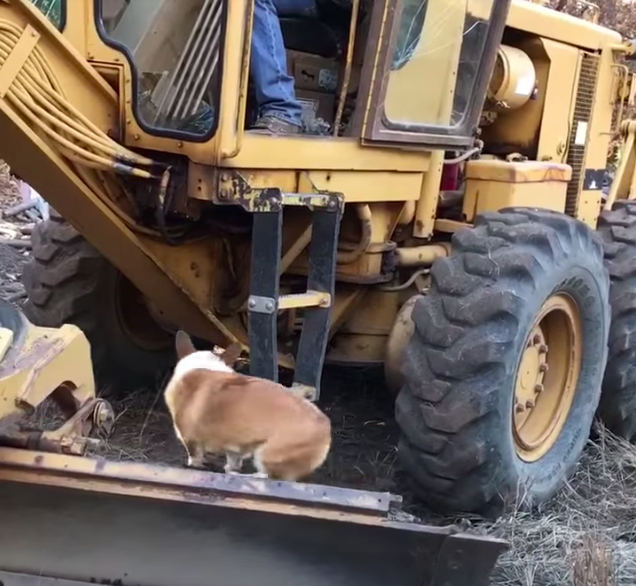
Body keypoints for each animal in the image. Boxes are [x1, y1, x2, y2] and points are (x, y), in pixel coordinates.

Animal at [163, 330, 332, 482]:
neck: (202, 366)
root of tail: (326, 428)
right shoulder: (233, 446)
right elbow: (233, 459)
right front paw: (230, 467)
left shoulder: (190, 441)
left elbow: (195, 459)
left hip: (265, 454)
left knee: (267, 477)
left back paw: (243, 476)